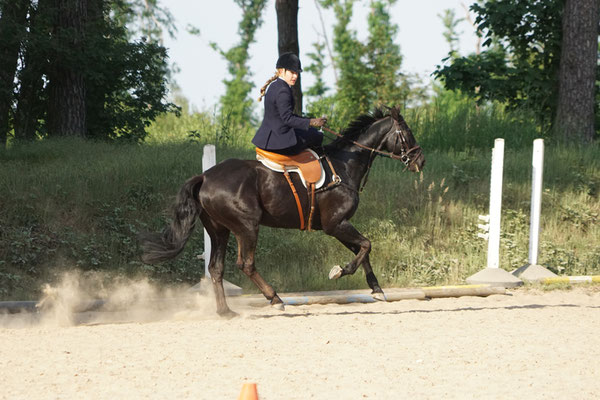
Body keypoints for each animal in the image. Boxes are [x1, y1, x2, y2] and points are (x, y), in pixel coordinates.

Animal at [138, 105, 424, 316]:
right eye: (407, 132)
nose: (420, 161)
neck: (345, 165)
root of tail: (205, 176)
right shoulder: (335, 224)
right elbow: (366, 246)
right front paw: (339, 272)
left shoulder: (338, 225)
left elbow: (363, 250)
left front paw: (377, 290)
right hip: (246, 227)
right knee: (246, 264)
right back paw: (275, 299)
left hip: (219, 230)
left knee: (216, 268)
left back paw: (225, 312)